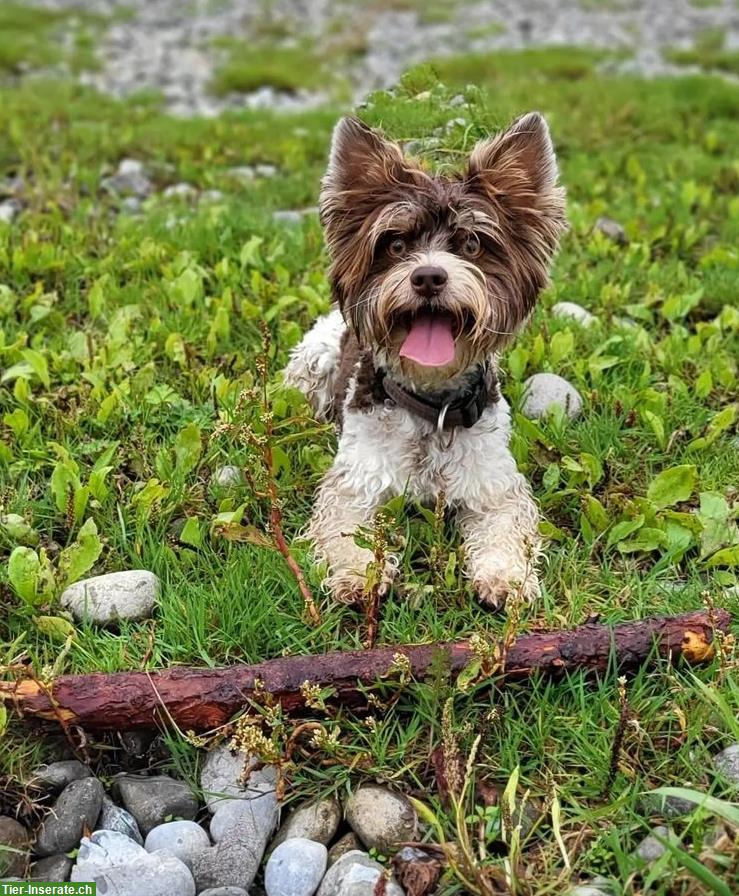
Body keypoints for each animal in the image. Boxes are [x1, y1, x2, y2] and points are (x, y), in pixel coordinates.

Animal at [284, 112, 568, 608]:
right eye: (396, 246)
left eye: (472, 245)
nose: (429, 276)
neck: (431, 405)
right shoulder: (357, 483)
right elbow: (344, 527)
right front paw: (358, 574)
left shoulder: (493, 485)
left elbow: (506, 526)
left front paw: (505, 576)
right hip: (313, 362)